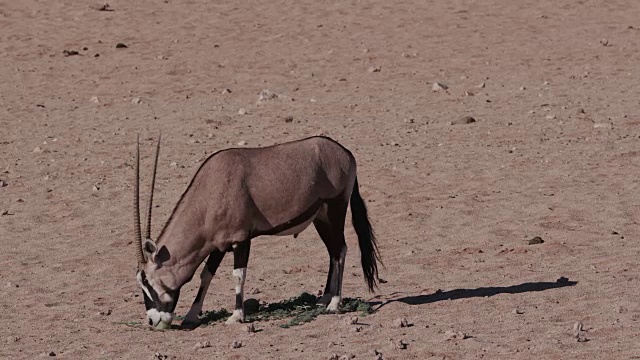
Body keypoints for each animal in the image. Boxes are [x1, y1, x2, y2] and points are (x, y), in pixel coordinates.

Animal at [134, 135, 380, 330]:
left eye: (149, 282)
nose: (152, 321)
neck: (210, 195)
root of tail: (345, 153)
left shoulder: (241, 240)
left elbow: (238, 274)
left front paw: (236, 316)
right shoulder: (218, 245)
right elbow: (207, 274)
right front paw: (192, 316)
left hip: (335, 209)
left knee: (340, 250)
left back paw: (334, 303)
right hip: (321, 218)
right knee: (332, 252)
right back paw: (323, 299)